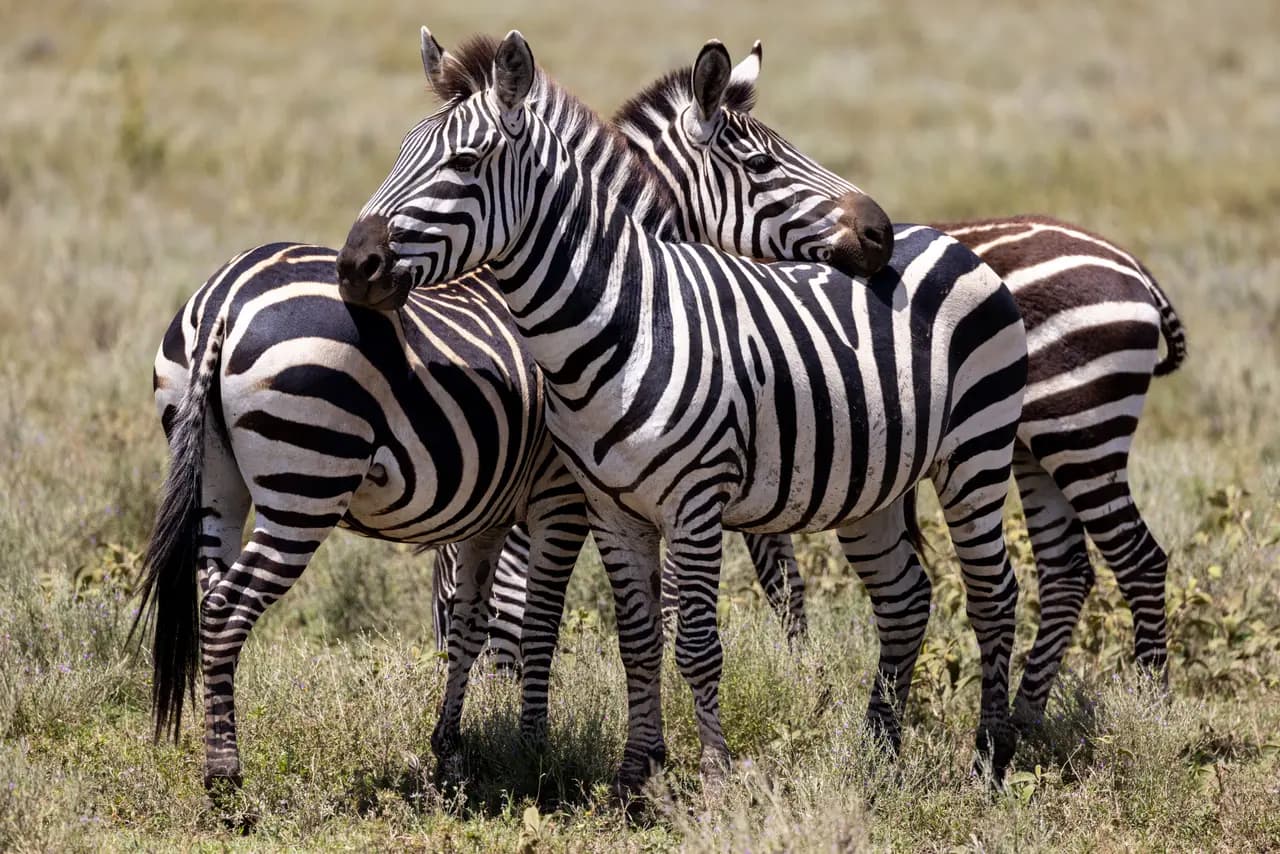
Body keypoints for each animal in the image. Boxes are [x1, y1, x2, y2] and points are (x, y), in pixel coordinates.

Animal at [338, 30, 1028, 794]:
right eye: (402, 152)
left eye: (463, 161)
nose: (353, 265)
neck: (628, 318)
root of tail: (947, 238)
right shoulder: (609, 508)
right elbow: (637, 637)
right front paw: (636, 775)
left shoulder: (686, 502)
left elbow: (687, 637)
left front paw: (713, 775)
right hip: (873, 484)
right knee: (905, 599)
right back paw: (879, 750)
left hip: (975, 454)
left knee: (993, 592)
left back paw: (990, 756)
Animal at [439, 40, 1185, 732]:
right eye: (763, 165)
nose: (878, 232)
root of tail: (1132, 266)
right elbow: (770, 579)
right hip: (1033, 447)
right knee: (1067, 569)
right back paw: (1028, 714)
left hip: (1078, 430)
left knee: (1138, 559)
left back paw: (1150, 705)